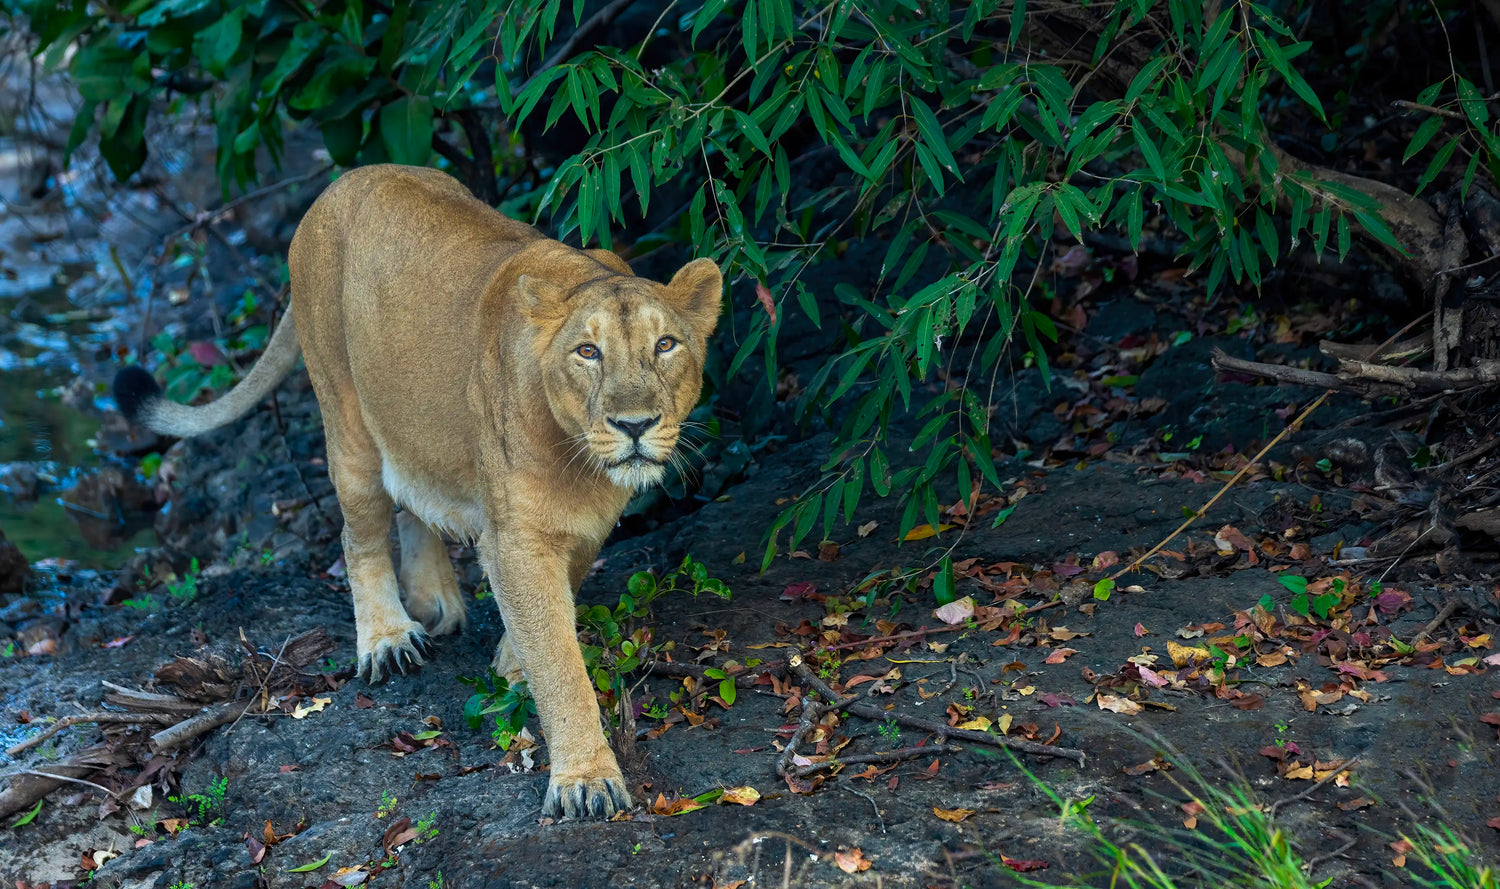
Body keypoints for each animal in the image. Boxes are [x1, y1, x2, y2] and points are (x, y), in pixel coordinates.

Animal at [114, 164, 722, 819]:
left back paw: (432, 599)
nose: (634, 425)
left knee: (413, 493)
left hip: (412, 422)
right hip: (346, 423)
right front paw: (585, 779)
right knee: (358, 537)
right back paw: (387, 638)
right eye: (588, 352)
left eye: (666, 345)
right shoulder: (515, 538)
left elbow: (554, 613)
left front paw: (511, 660)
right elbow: (560, 662)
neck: (582, 467)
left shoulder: (585, 526)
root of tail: (338, 185)